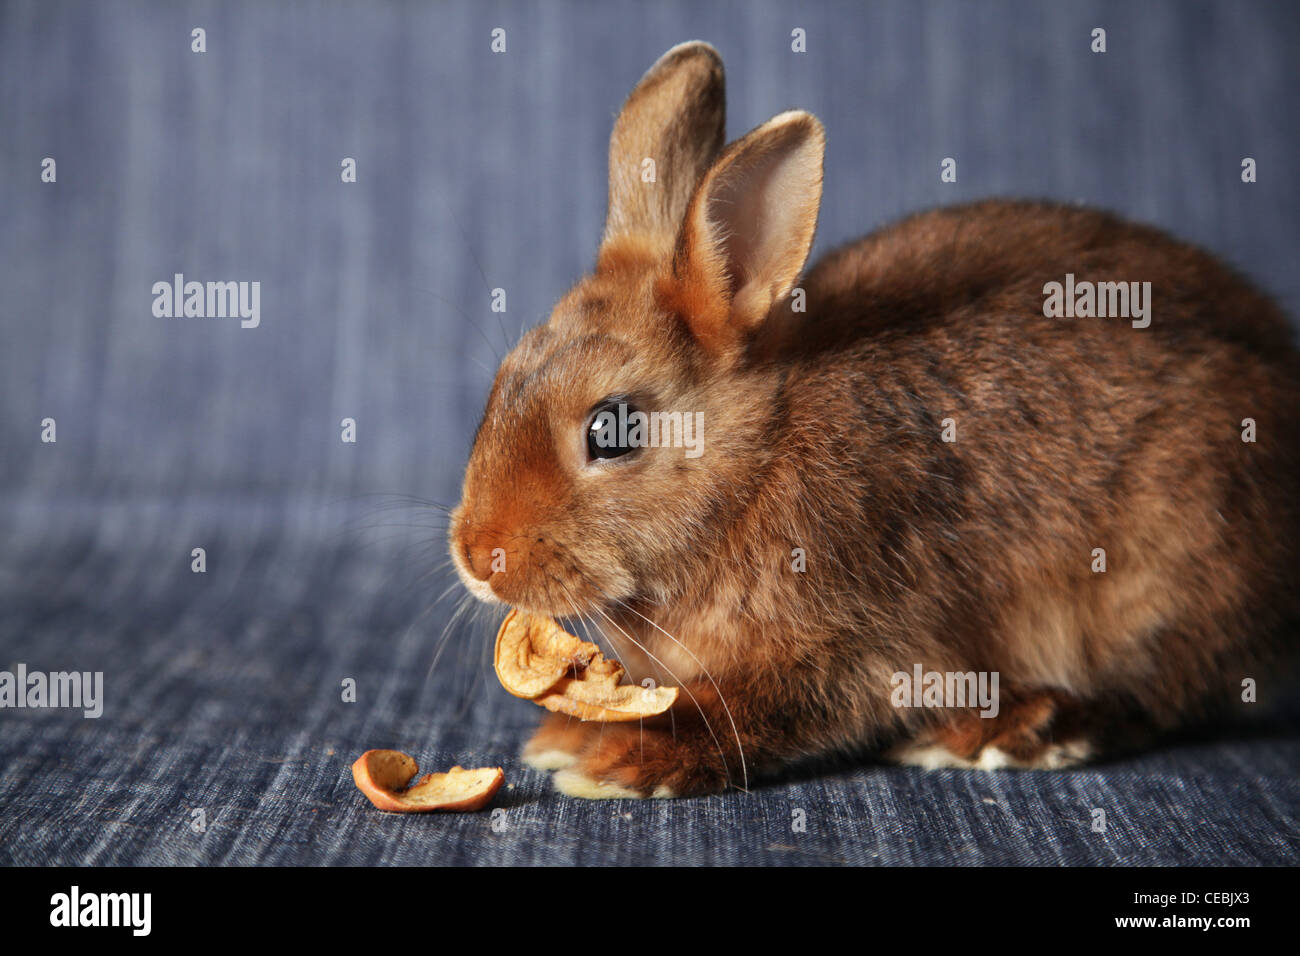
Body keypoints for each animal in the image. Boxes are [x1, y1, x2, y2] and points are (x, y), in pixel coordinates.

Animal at [449, 41, 1300, 796]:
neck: (752, 467)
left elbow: (773, 711)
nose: (477, 554)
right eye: (505, 376)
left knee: (1159, 693)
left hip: (1169, 563)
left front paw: (619, 761)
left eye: (613, 429)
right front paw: (566, 734)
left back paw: (1016, 730)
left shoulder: (859, 637)